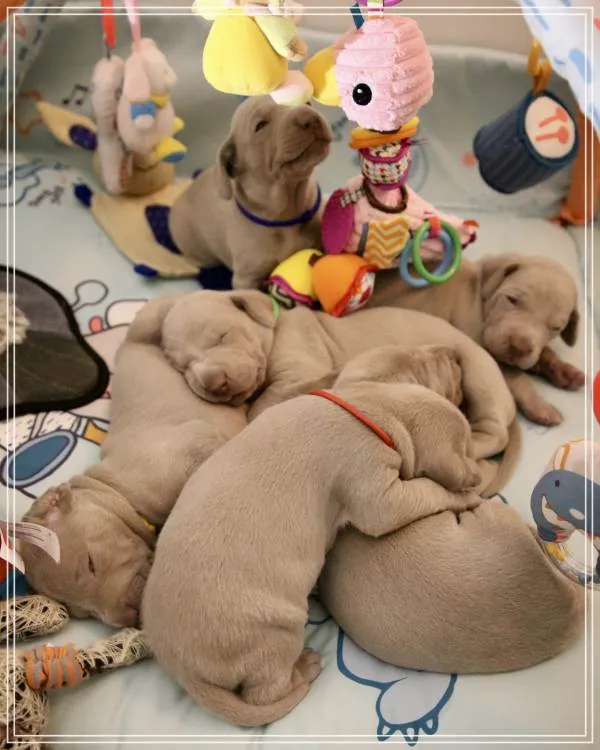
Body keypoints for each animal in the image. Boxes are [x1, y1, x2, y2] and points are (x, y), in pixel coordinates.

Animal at [142, 345, 482, 727]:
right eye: (435, 366)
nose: (455, 352)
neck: (367, 407)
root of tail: (183, 670)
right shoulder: (374, 485)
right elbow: (421, 494)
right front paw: (464, 496)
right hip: (273, 634)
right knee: (266, 691)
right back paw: (305, 667)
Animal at [369, 253, 584, 426]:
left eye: (555, 328)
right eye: (512, 299)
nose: (519, 346)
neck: (482, 303)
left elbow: (541, 354)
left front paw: (564, 371)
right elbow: (517, 377)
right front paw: (539, 405)